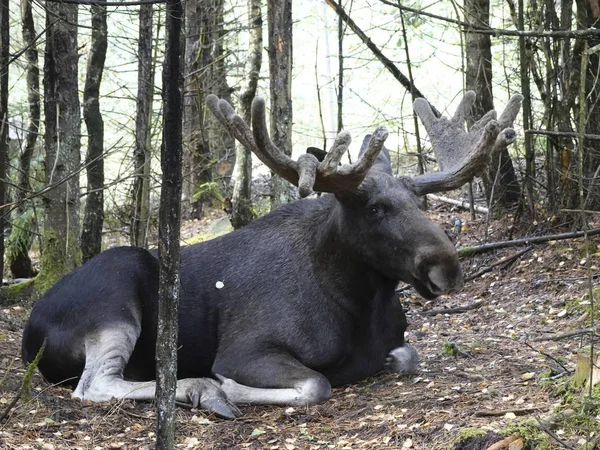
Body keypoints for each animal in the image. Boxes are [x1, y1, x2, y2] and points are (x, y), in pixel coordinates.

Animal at [22, 90, 520, 418]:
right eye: (375, 208)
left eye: (422, 202)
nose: (446, 268)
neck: (359, 301)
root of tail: (31, 329)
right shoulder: (246, 350)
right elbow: (317, 383)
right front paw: (224, 386)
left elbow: (406, 355)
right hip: (115, 298)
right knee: (94, 385)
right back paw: (201, 388)